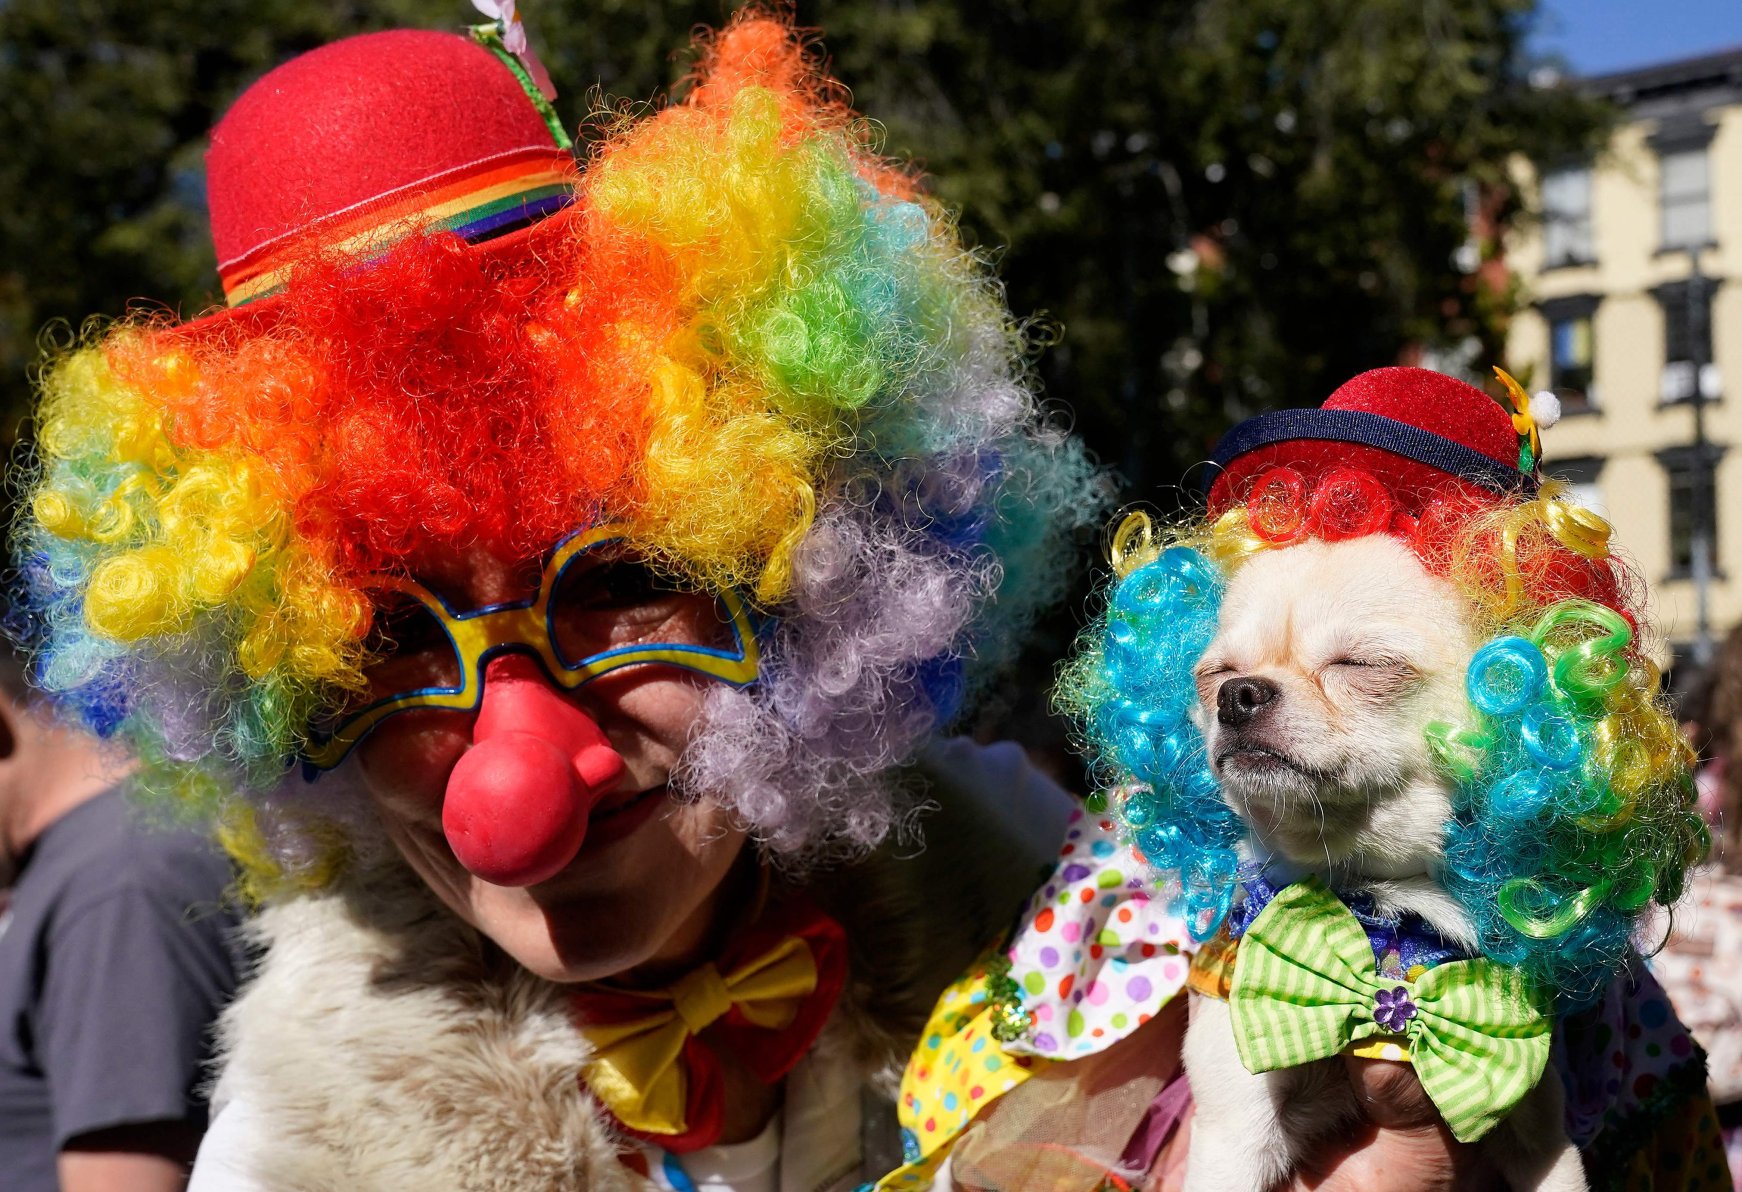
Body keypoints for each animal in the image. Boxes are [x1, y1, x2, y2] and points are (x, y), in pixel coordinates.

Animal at [1177, 536, 1588, 1192]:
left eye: (1359, 665)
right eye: (1215, 675)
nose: (1236, 696)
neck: (1378, 906)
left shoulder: (1538, 1134)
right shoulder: (1232, 1133)